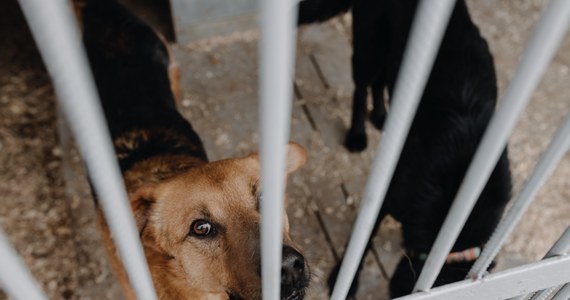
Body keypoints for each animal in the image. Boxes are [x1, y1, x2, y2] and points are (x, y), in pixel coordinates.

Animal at [298, 0, 510, 298]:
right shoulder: (387, 197)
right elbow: (362, 241)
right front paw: (343, 279)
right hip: (369, 49)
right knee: (362, 87)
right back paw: (357, 134)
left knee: (380, 84)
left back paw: (381, 117)